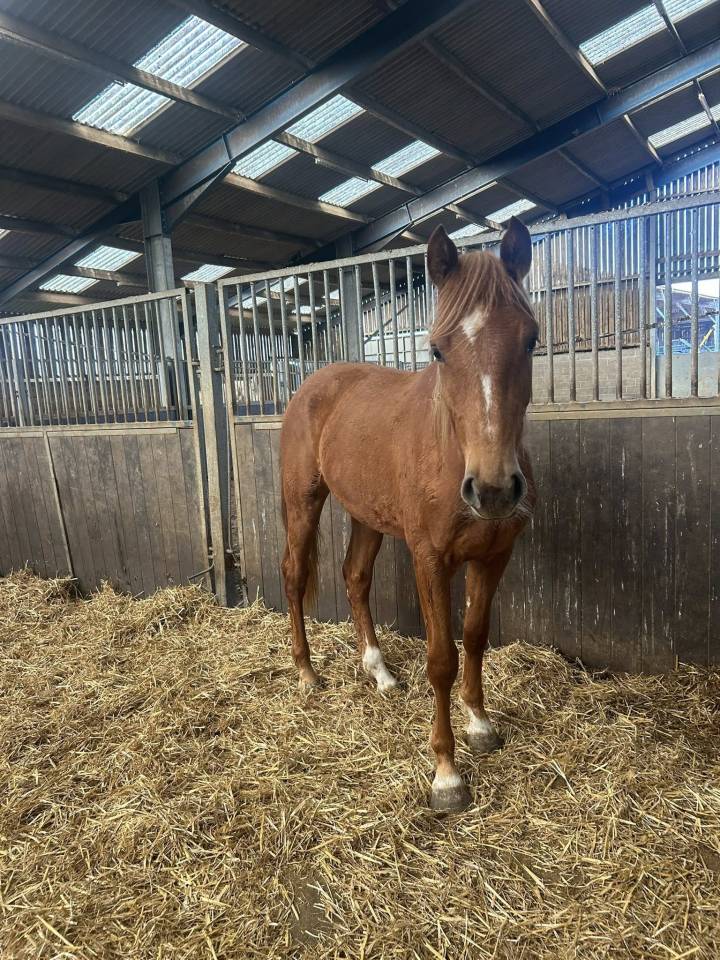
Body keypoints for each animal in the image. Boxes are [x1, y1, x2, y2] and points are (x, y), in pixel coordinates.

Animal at [279, 217, 538, 812]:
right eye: (438, 350)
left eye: (531, 338)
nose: (493, 490)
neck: (453, 449)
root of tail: (314, 383)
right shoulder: (430, 560)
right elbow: (442, 657)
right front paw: (447, 775)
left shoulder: (495, 556)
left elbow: (476, 637)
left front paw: (480, 724)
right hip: (303, 504)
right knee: (295, 575)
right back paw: (306, 675)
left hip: (367, 517)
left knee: (355, 577)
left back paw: (379, 673)